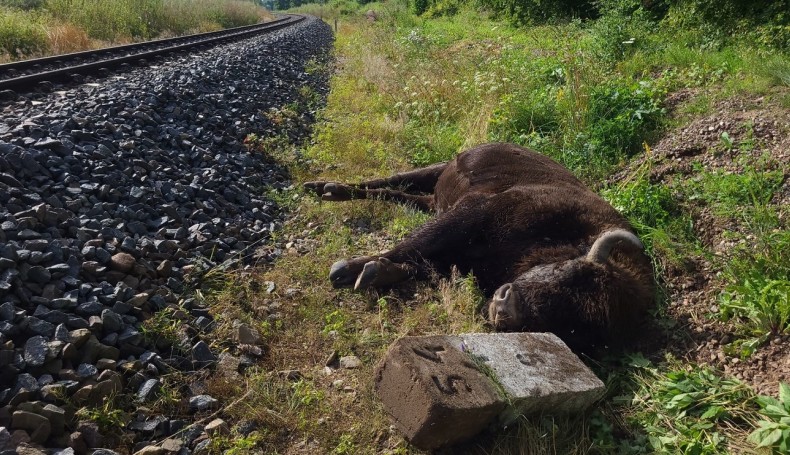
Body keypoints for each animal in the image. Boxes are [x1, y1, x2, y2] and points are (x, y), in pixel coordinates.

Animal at [304, 143, 656, 352]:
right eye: (569, 272)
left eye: (572, 330)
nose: (505, 310)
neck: (575, 235)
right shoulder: (474, 212)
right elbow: (414, 244)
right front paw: (347, 271)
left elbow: (419, 263)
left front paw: (376, 273)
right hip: (442, 170)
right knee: (393, 180)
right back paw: (326, 188)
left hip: (432, 198)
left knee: (401, 195)